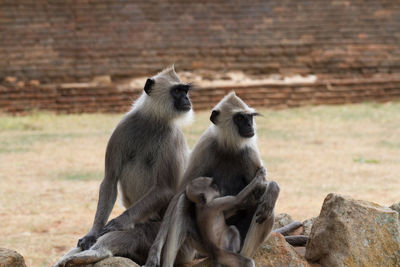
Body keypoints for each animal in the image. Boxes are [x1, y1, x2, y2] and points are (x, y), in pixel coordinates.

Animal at [76, 66, 195, 251]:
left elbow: (164, 188)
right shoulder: (122, 128)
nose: (186, 99)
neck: (152, 120)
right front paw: (92, 233)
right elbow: (110, 179)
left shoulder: (172, 137)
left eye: (185, 91)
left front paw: (119, 222)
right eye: (177, 91)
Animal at [145, 91, 282, 266]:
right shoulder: (205, 145)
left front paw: (272, 188)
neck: (229, 146)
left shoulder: (249, 152)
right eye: (239, 118)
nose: (249, 126)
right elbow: (178, 195)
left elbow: (262, 189)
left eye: (249, 117)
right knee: (183, 200)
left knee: (266, 207)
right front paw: (154, 252)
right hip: (201, 245)